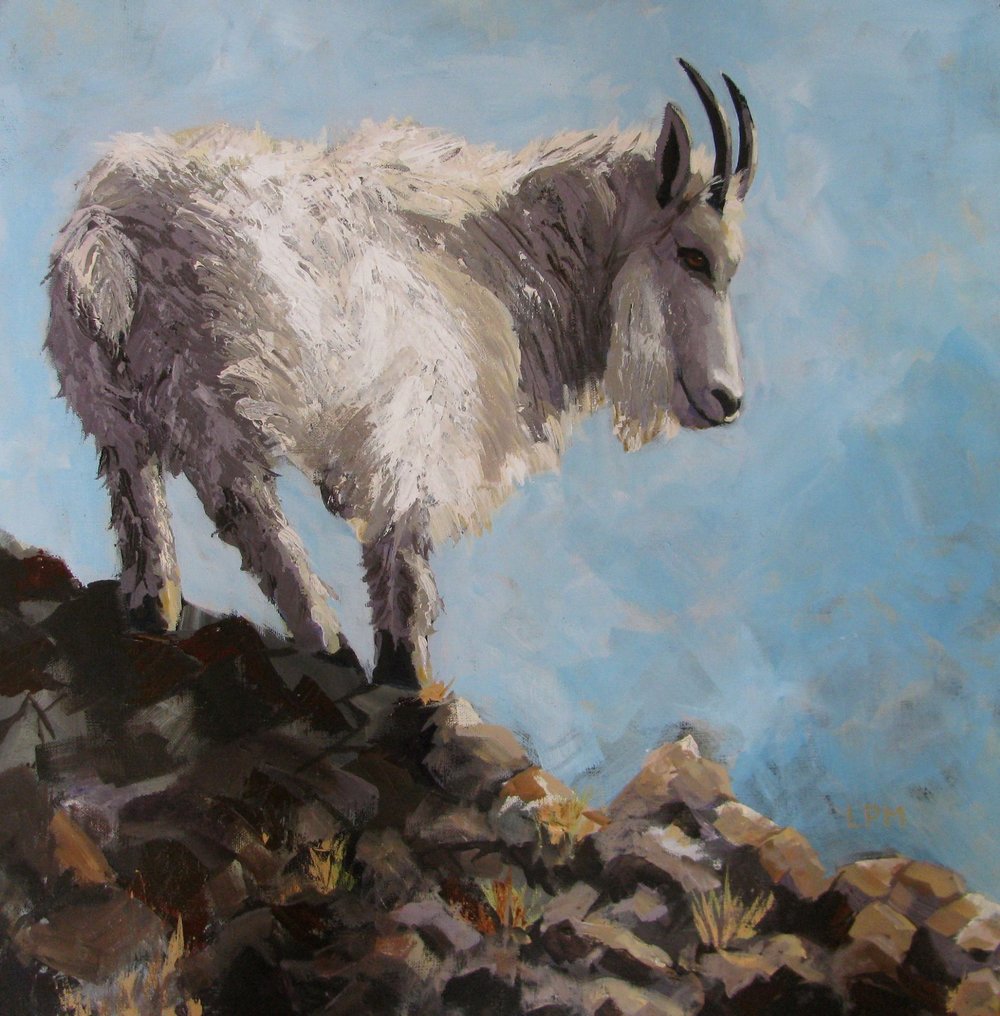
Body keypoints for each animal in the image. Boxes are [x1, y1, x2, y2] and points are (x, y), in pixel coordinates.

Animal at [45, 61, 757, 688]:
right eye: (694, 255)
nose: (726, 399)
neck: (508, 259)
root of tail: (110, 231)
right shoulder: (412, 435)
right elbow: (404, 559)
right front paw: (405, 673)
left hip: (108, 389)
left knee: (134, 481)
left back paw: (154, 604)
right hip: (217, 389)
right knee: (242, 505)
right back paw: (325, 638)